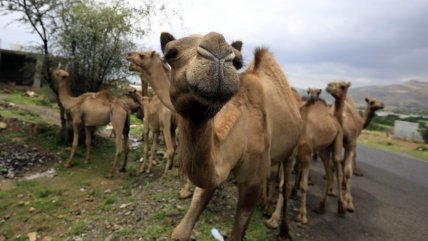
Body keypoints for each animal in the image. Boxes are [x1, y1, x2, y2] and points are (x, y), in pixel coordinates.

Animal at [136, 32, 300, 241]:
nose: (217, 47)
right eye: (170, 54)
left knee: (285, 187)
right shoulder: (216, 168)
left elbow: (238, 230)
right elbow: (183, 227)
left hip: (291, 152)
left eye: (238, 62)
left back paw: (281, 227)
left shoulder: (252, 182)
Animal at [328, 79, 384, 211]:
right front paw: (346, 200)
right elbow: (345, 165)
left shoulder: (349, 143)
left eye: (343, 86)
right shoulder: (352, 142)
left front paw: (346, 198)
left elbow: (345, 167)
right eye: (372, 102)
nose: (382, 104)